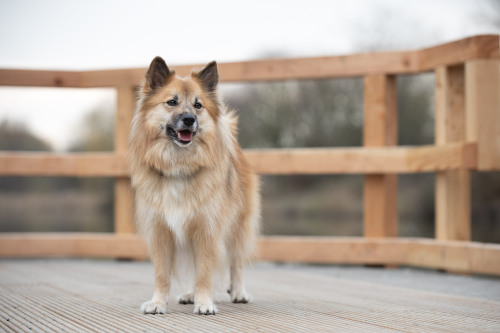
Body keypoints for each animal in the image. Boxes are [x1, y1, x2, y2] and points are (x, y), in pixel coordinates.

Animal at [129, 57, 260, 314]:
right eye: (172, 102)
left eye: (198, 105)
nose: (189, 119)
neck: (179, 167)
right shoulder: (160, 232)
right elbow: (163, 274)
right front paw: (158, 302)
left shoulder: (207, 230)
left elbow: (204, 273)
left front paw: (204, 303)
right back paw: (190, 294)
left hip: (238, 228)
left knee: (236, 263)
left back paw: (238, 292)